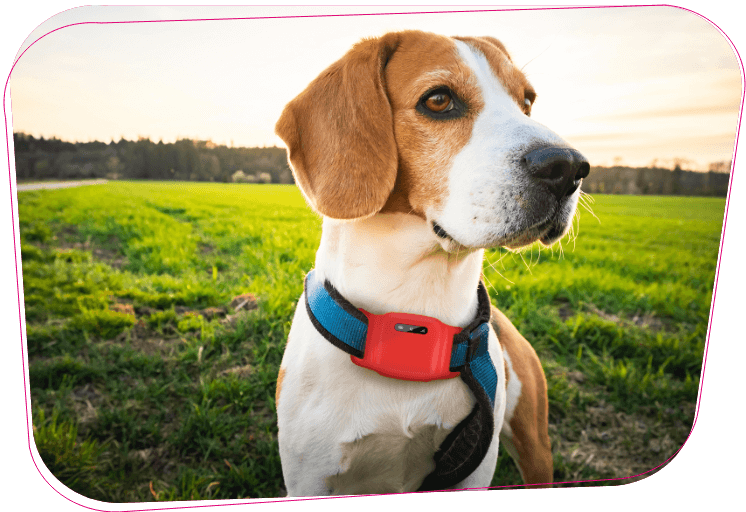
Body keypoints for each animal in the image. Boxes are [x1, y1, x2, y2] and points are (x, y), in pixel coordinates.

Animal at [274, 30, 588, 494]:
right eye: (438, 100)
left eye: (527, 102)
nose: (569, 166)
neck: (413, 314)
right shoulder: (309, 475)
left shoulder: (474, 469)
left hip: (535, 447)